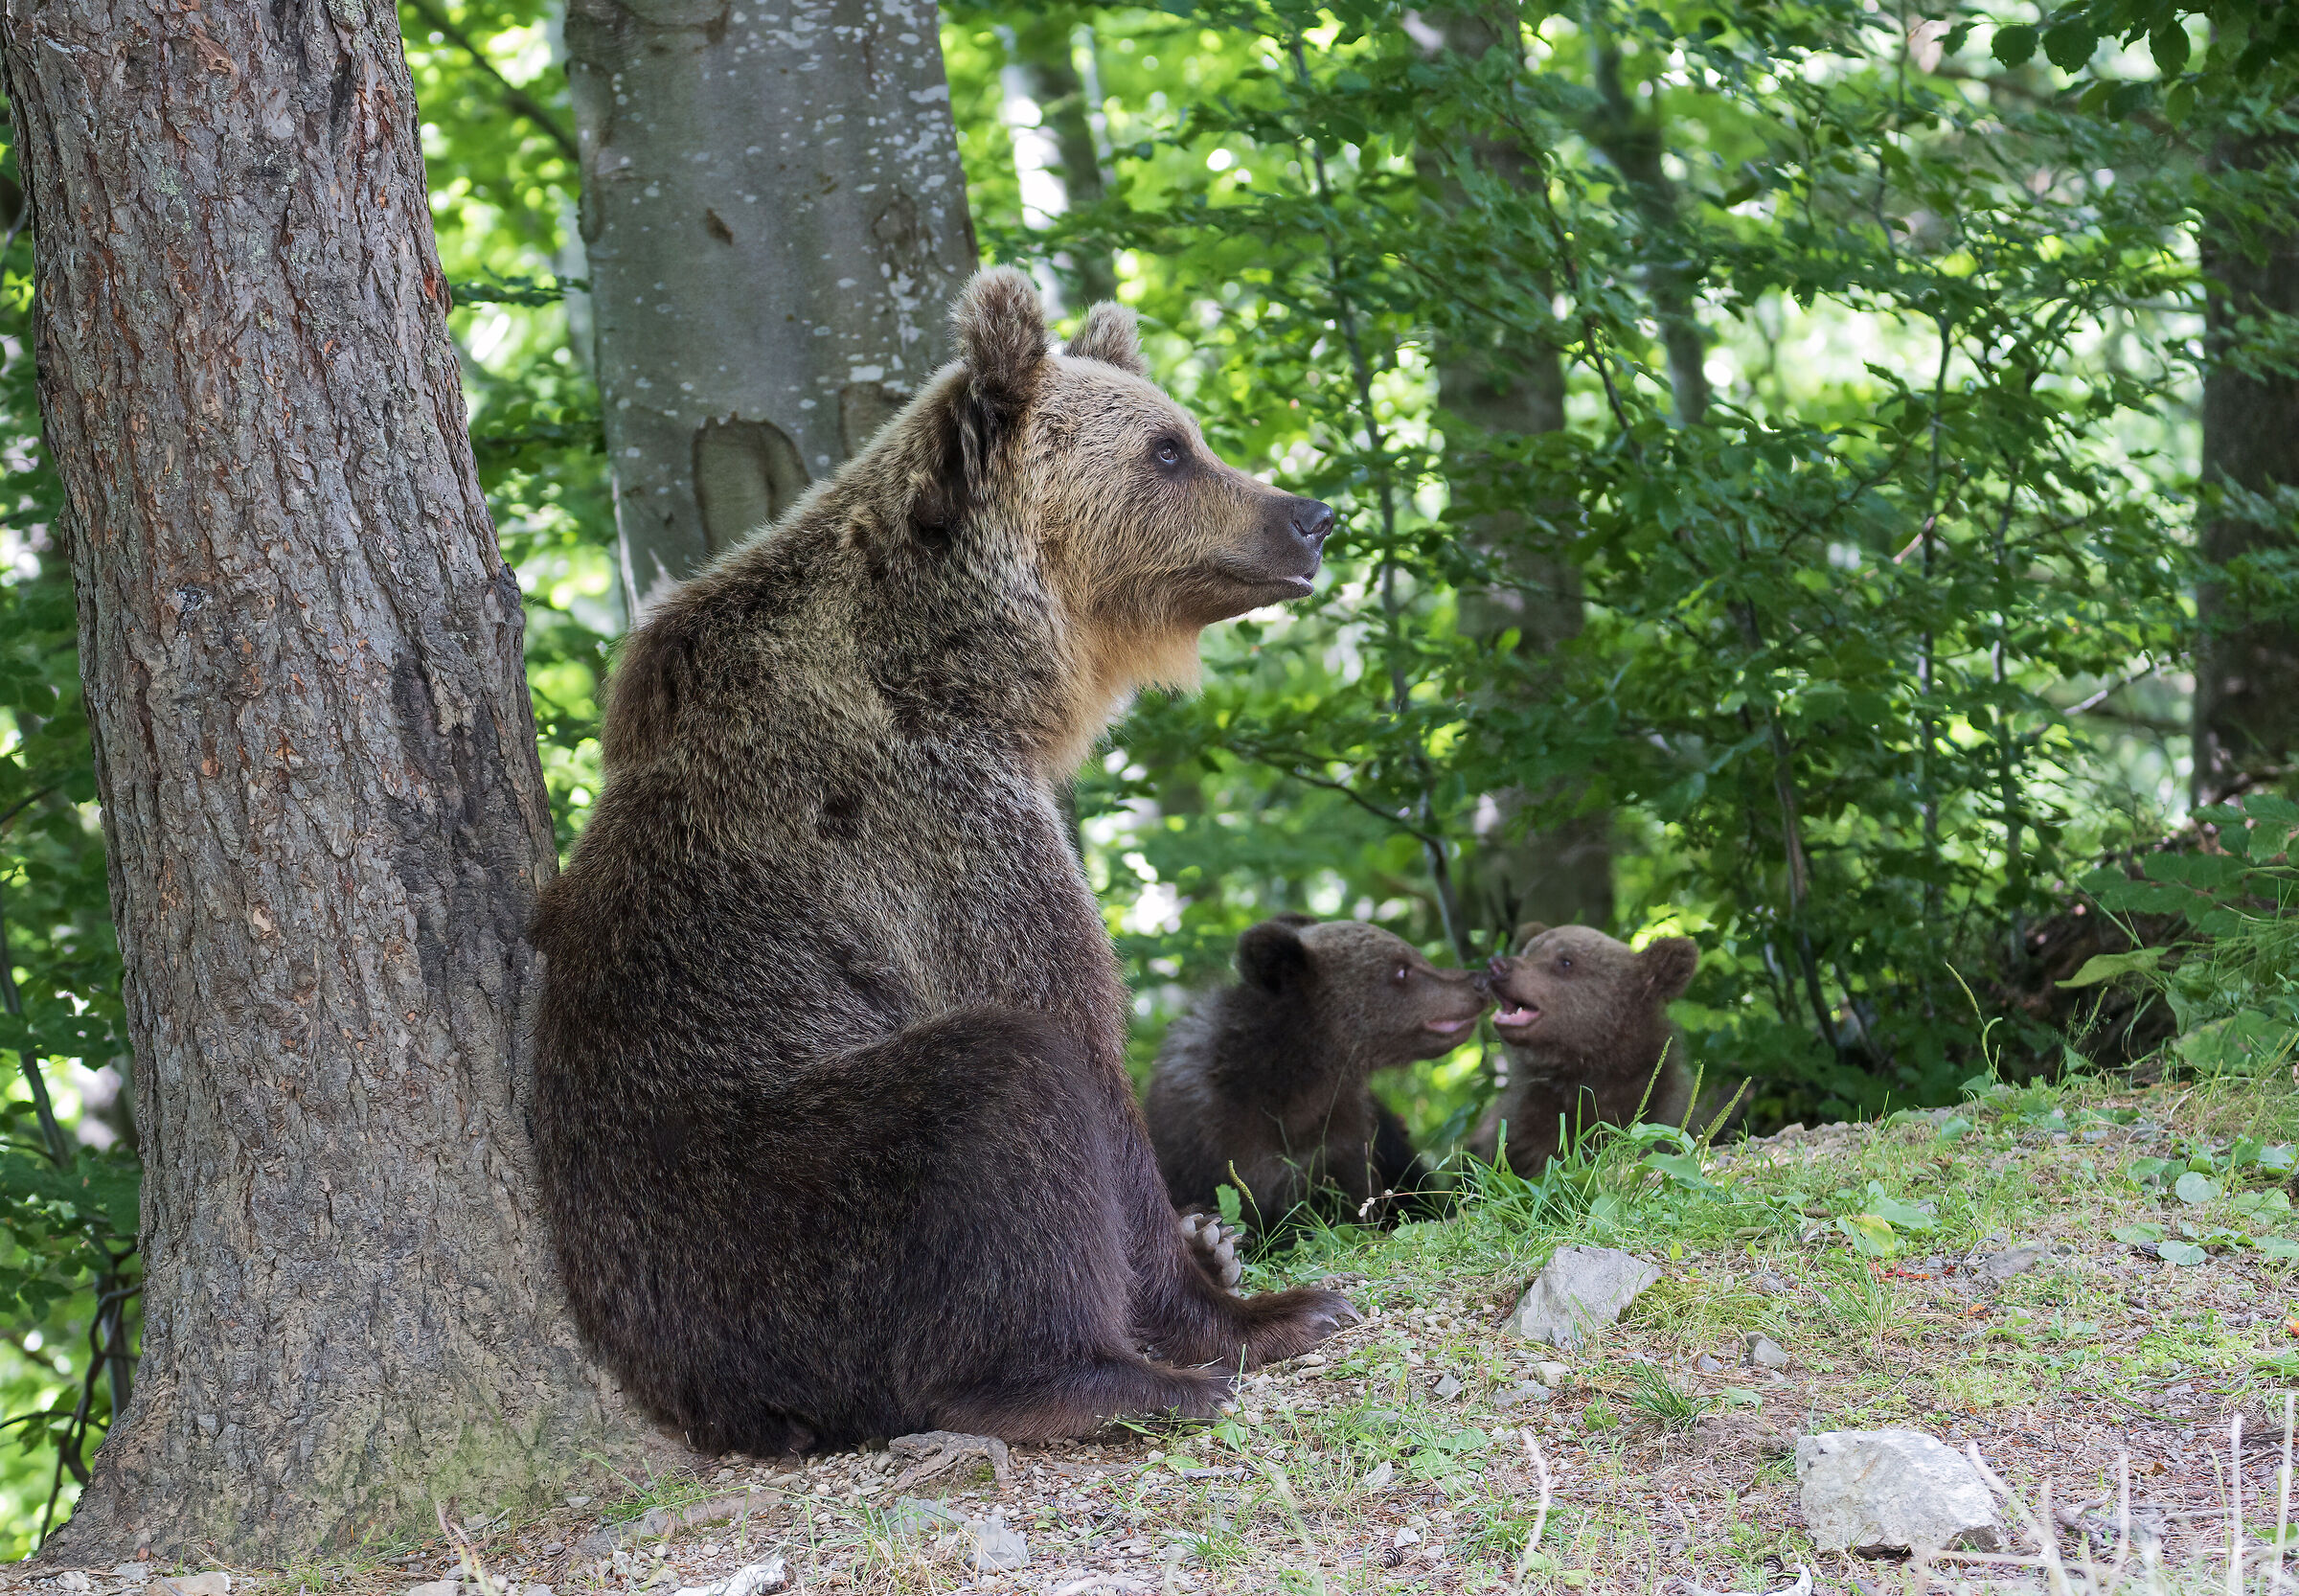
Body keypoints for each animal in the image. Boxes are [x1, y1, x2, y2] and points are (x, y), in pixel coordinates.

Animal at [526, 268, 1357, 1455]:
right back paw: (1107, 1380)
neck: (967, 673)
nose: (1312, 515)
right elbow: (1070, 1035)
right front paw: (1263, 1313)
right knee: (994, 1092)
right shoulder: (940, 831)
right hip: (769, 1212)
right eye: (1169, 449)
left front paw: (1223, 1242)